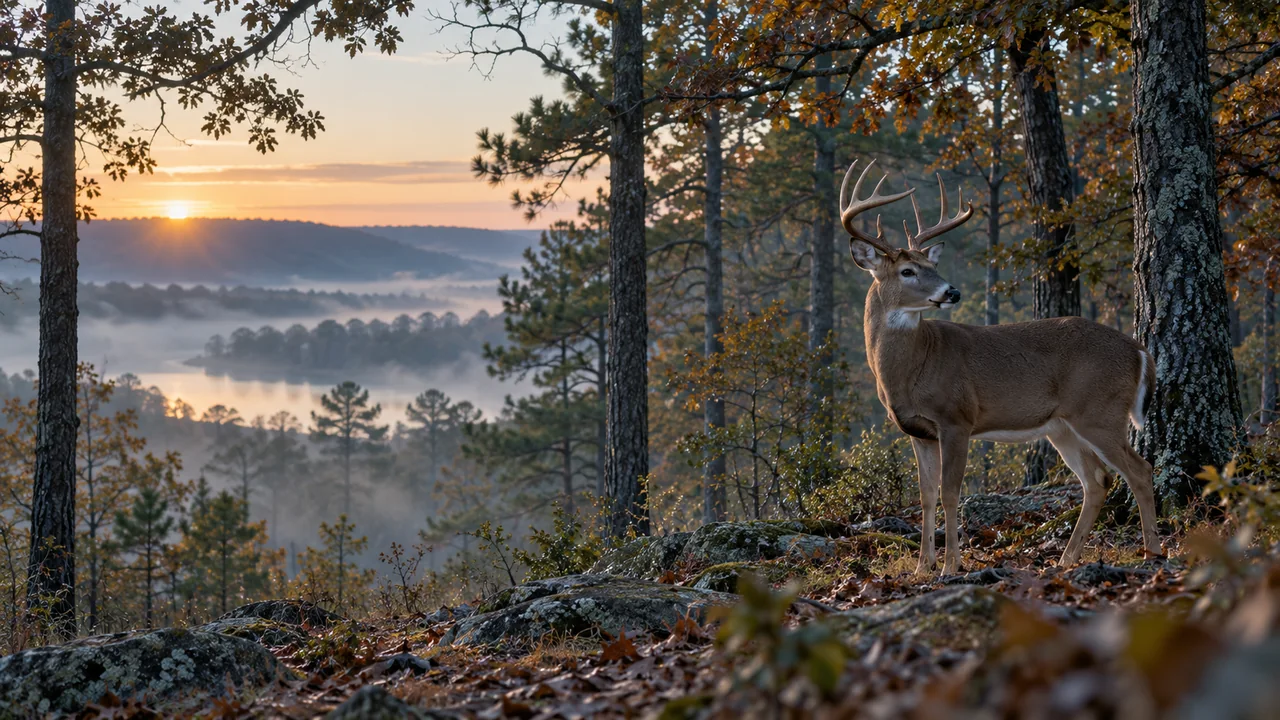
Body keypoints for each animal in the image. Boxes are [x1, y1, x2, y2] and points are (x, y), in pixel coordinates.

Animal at [840, 159, 1163, 576]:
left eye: (930, 264)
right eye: (907, 271)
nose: (952, 292)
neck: (910, 371)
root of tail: (1140, 350)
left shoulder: (957, 418)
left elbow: (950, 492)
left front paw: (950, 565)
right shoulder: (918, 431)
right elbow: (926, 494)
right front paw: (922, 566)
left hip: (1099, 411)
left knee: (1139, 470)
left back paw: (1152, 551)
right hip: (1063, 427)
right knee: (1098, 481)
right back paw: (1065, 559)